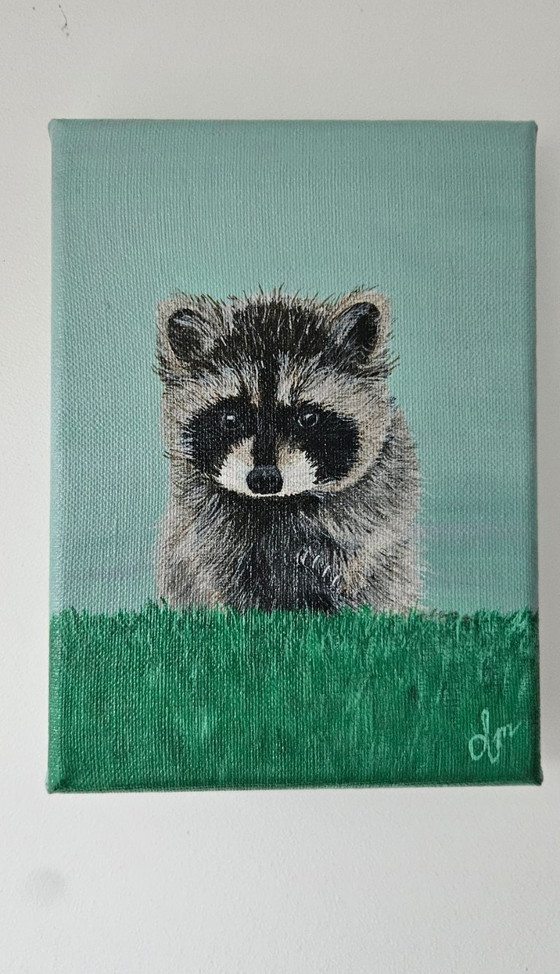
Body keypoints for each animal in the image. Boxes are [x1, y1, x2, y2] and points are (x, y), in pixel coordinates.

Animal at [156, 289, 420, 613]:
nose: (264, 479)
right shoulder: (209, 534)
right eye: (230, 418)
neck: (276, 504)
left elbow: (360, 569)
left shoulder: (373, 513)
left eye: (307, 418)